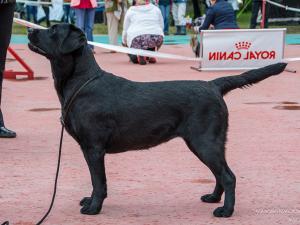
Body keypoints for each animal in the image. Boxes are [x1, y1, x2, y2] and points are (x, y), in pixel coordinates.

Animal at [27, 24, 286, 218]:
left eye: (53, 30)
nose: (29, 30)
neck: (80, 81)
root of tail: (213, 84)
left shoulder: (93, 147)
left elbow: (98, 181)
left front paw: (93, 208)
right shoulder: (90, 148)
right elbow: (95, 181)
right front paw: (90, 201)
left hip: (204, 142)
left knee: (228, 176)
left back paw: (226, 211)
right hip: (207, 143)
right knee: (220, 173)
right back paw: (213, 198)